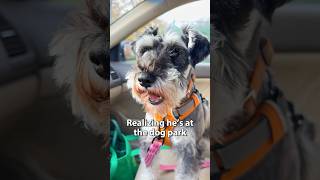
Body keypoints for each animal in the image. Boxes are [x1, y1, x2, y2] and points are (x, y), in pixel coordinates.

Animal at [126, 26, 211, 179]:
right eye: (145, 49)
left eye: (175, 51)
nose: (144, 79)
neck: (168, 112)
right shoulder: (149, 141)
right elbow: (148, 170)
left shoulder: (188, 149)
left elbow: (185, 174)